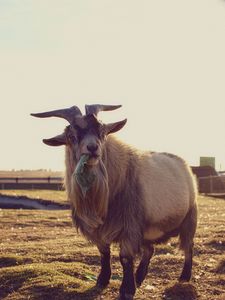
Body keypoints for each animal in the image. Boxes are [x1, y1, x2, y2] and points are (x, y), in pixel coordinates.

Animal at [31, 104, 197, 298]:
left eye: (102, 132)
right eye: (71, 136)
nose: (92, 148)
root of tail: (184, 164)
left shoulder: (130, 225)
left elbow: (125, 257)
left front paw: (127, 290)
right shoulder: (103, 229)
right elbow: (104, 253)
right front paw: (102, 280)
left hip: (189, 218)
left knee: (188, 247)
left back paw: (184, 276)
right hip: (148, 227)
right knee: (150, 250)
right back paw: (139, 277)